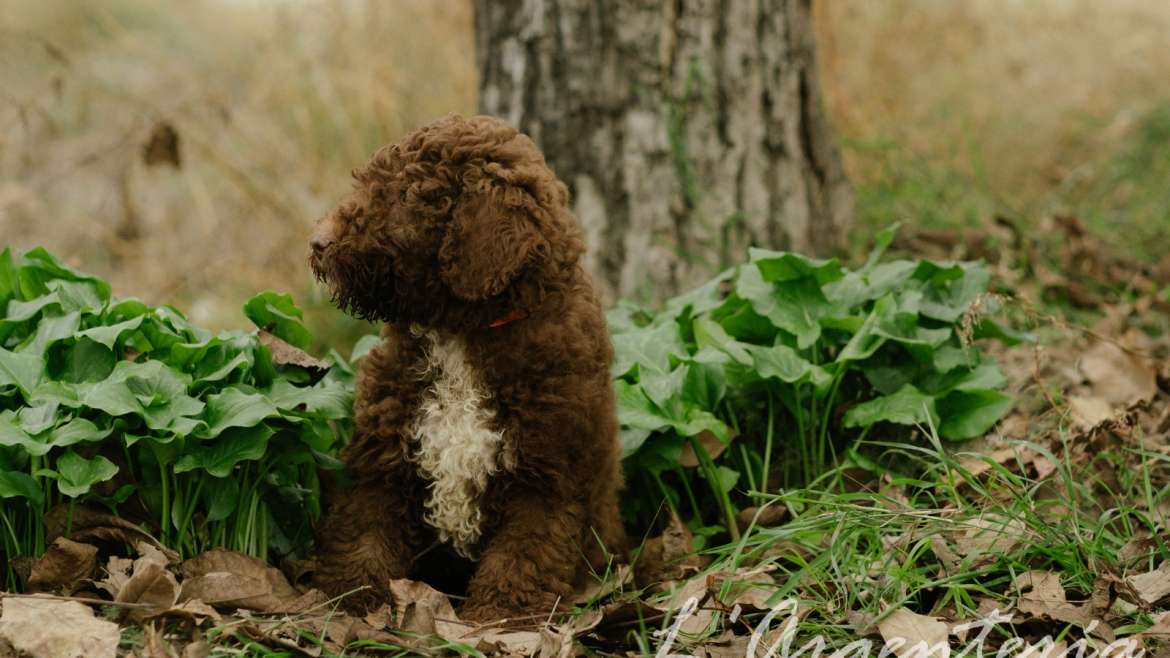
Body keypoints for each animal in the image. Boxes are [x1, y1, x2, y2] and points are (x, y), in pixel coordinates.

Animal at [306, 112, 627, 618]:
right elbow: (364, 533)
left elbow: (523, 555)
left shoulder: (547, 476)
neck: (460, 335)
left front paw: (500, 616)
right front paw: (349, 599)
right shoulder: (386, 463)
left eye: (406, 195)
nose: (317, 242)